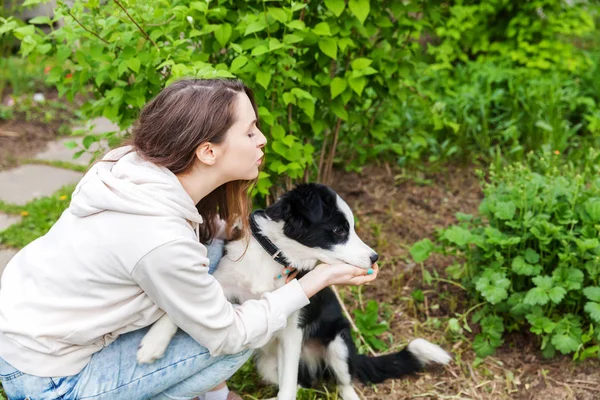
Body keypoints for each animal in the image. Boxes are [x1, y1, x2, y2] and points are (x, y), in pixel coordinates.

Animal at [138, 184, 452, 400]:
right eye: (339, 230)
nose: (375, 257)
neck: (276, 256)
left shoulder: (293, 327)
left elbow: (290, 385)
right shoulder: (224, 284)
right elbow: (182, 308)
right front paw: (154, 342)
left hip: (338, 343)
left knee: (344, 383)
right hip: (267, 363)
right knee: (301, 383)